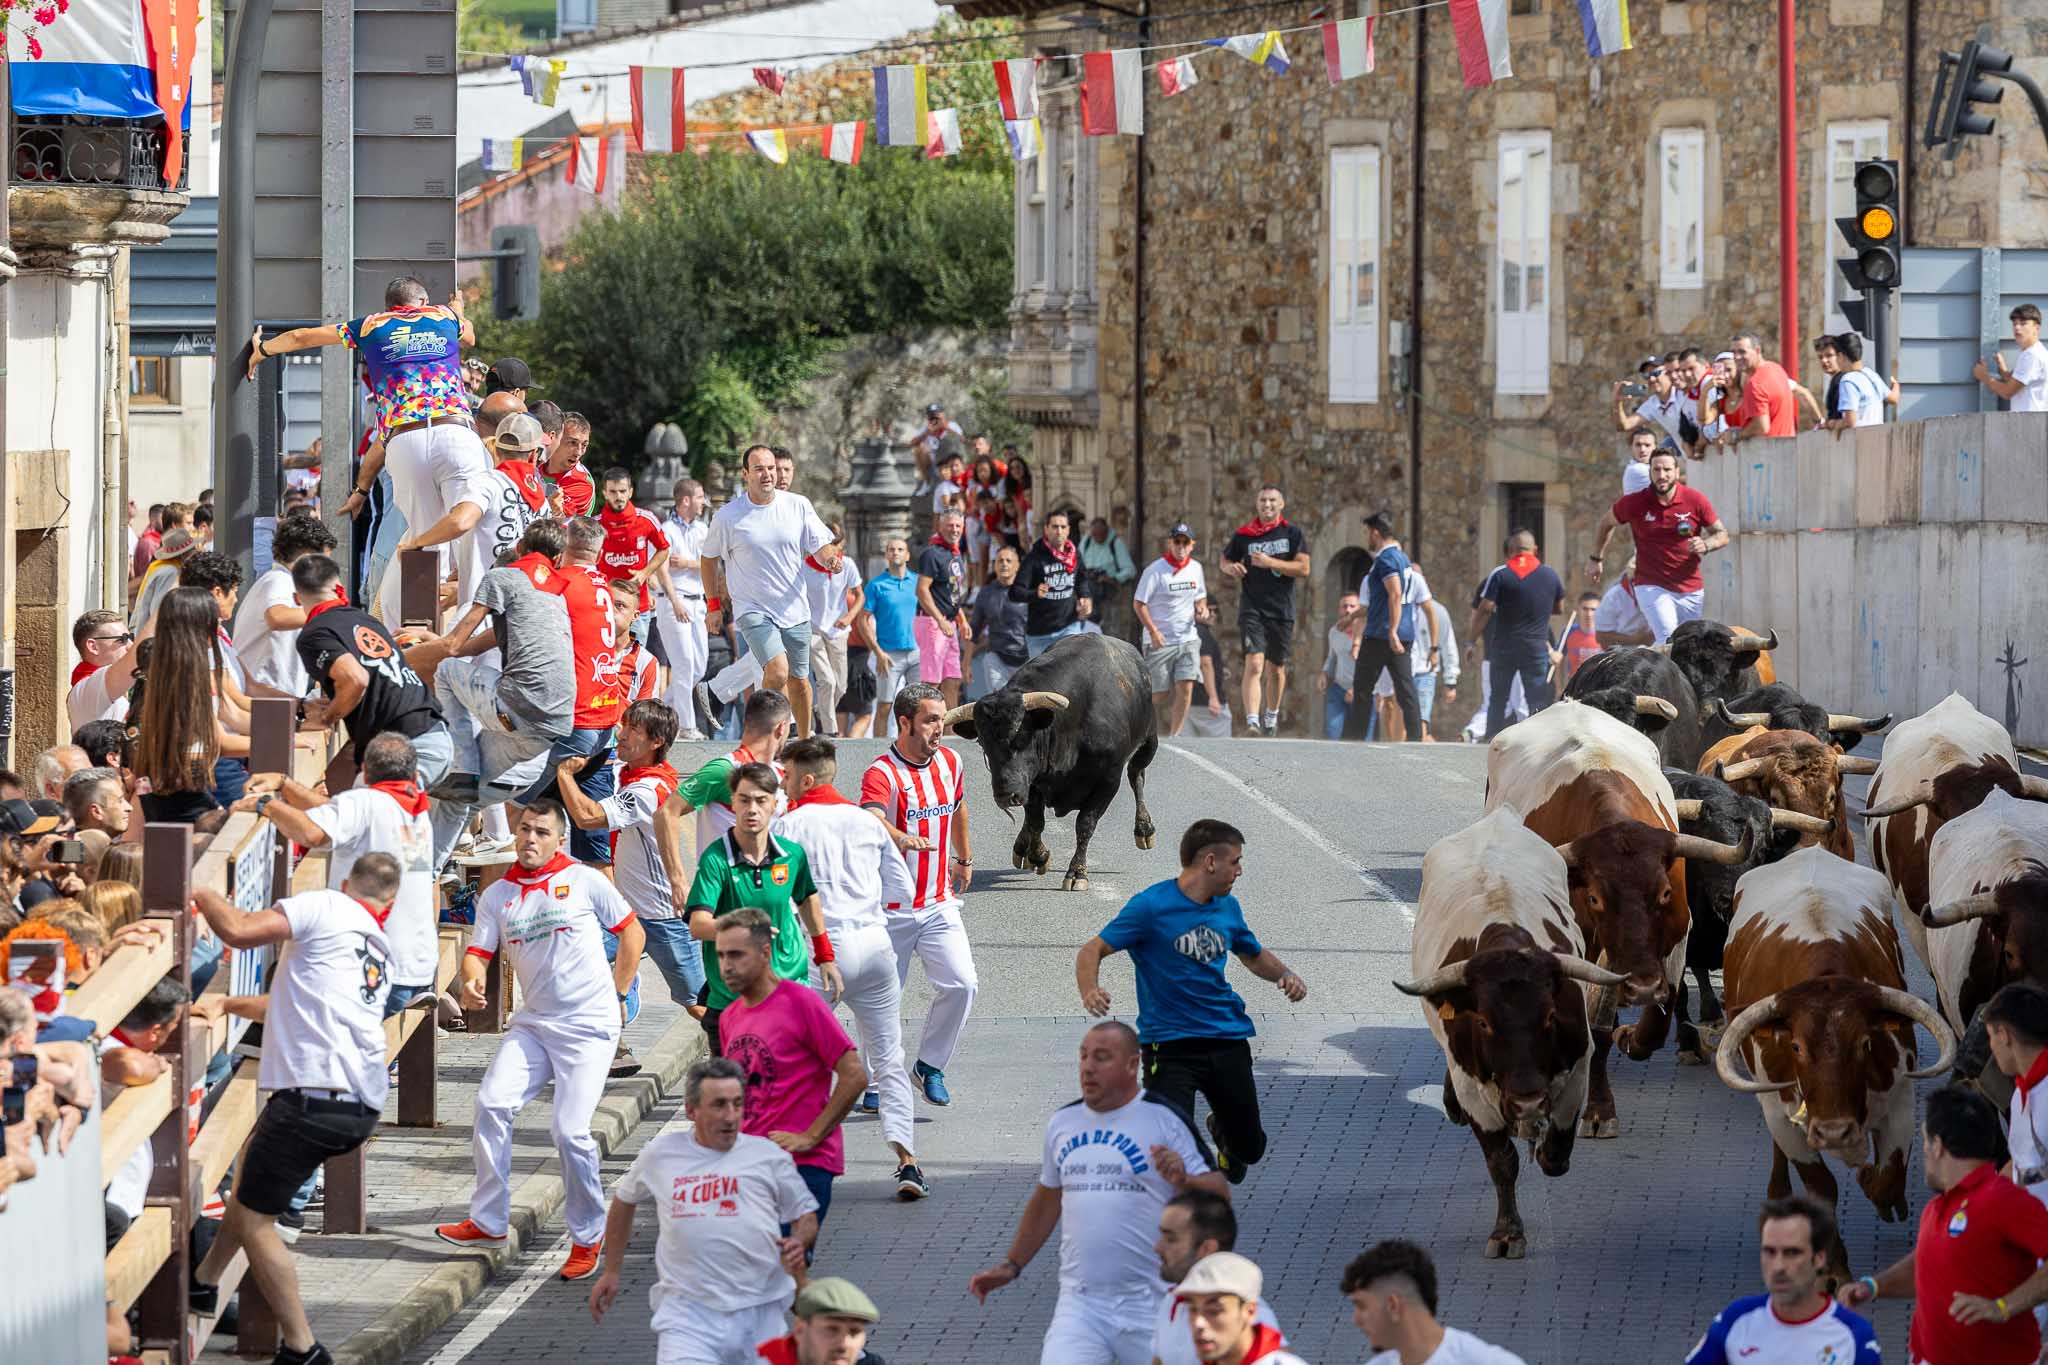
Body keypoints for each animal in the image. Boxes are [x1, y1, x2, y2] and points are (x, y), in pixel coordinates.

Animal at [937, 634, 1155, 892]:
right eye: (982, 742)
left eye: (1023, 736)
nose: (1005, 795)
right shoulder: (1032, 784)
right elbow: (1036, 821)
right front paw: (1038, 855)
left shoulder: (1108, 780)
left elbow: (1085, 824)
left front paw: (1077, 872)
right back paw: (1023, 848)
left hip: (1149, 742)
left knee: (1136, 774)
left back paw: (1144, 829)